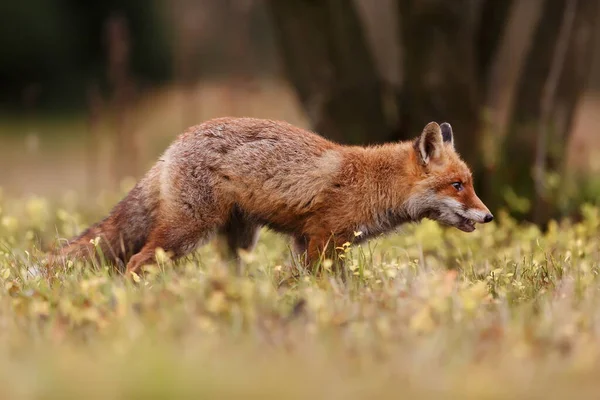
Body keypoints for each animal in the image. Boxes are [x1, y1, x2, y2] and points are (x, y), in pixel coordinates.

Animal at [51, 117, 492, 276]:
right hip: (187, 231)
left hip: (239, 241)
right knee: (137, 261)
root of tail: (176, 141)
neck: (373, 183)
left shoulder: (307, 241)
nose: (488, 217)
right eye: (458, 186)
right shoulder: (322, 240)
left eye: (469, 183)